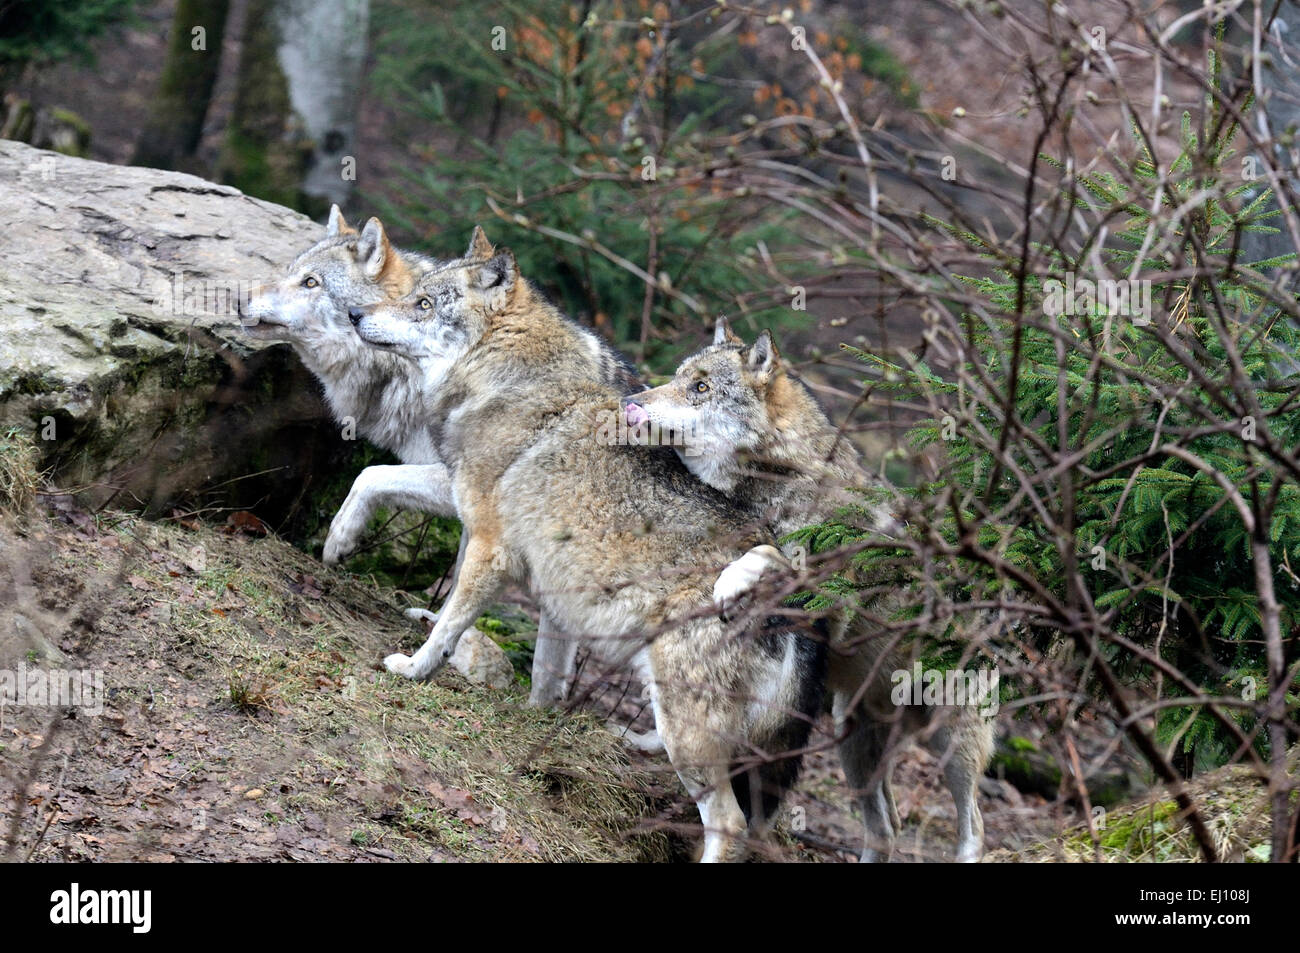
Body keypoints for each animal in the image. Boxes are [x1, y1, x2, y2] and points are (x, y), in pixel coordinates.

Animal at [345, 241, 826, 858]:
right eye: (410, 294)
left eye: (424, 304)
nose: (355, 314)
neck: (510, 383)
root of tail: (798, 608)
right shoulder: (554, 589)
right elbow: (545, 674)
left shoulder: (490, 548)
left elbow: (448, 623)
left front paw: (413, 668)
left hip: (685, 729)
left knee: (731, 823)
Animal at [624, 319, 987, 863]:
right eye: (678, 378)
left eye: (701, 387)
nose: (632, 400)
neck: (776, 476)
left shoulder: (821, 592)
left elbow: (765, 554)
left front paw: (731, 579)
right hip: (852, 739)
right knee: (888, 825)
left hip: (951, 742)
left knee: (974, 824)